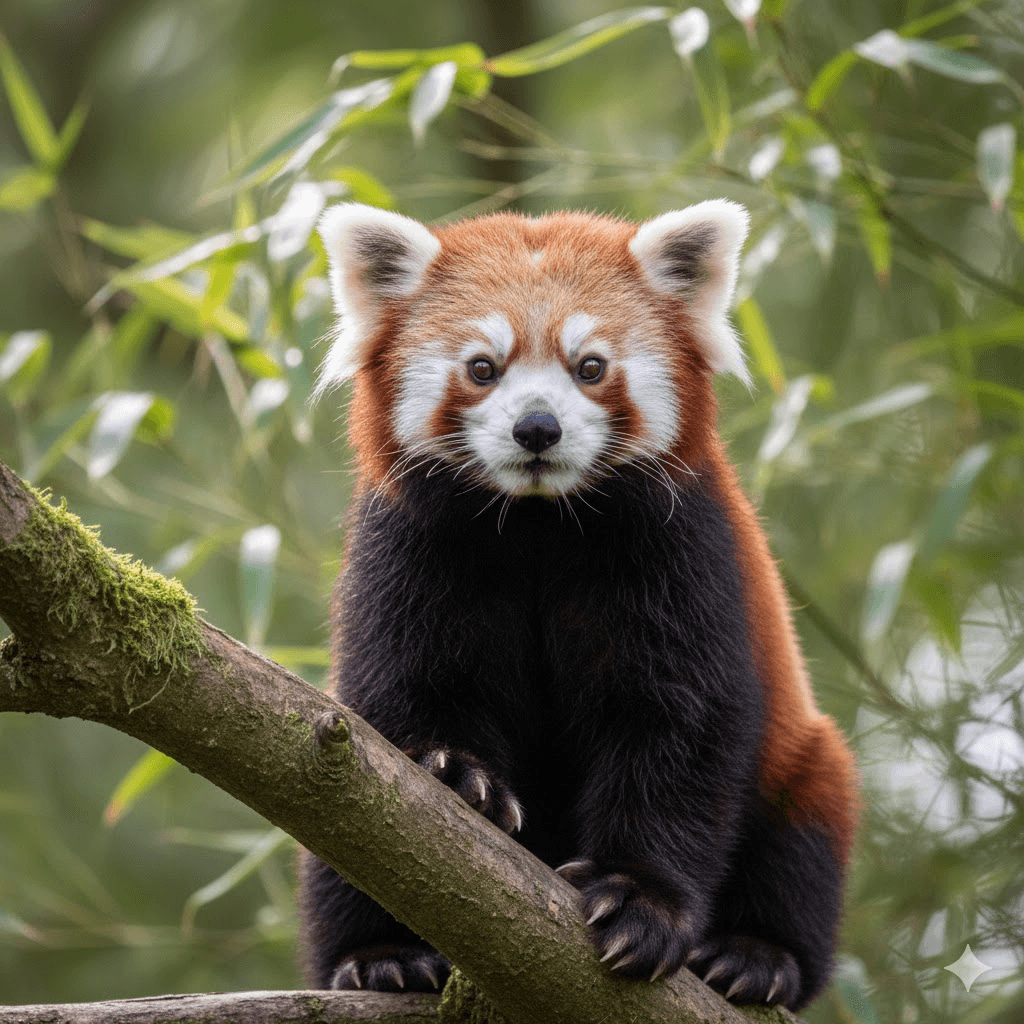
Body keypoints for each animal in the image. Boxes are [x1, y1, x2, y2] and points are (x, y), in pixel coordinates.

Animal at [298, 201, 859, 1010]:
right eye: (482, 367)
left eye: (589, 367)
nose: (537, 427)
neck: (539, 525)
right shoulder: (408, 550)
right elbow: (407, 689)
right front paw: (454, 773)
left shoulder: (684, 549)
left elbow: (679, 726)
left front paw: (640, 901)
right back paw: (380, 956)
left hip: (804, 765)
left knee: (805, 833)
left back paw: (757, 958)